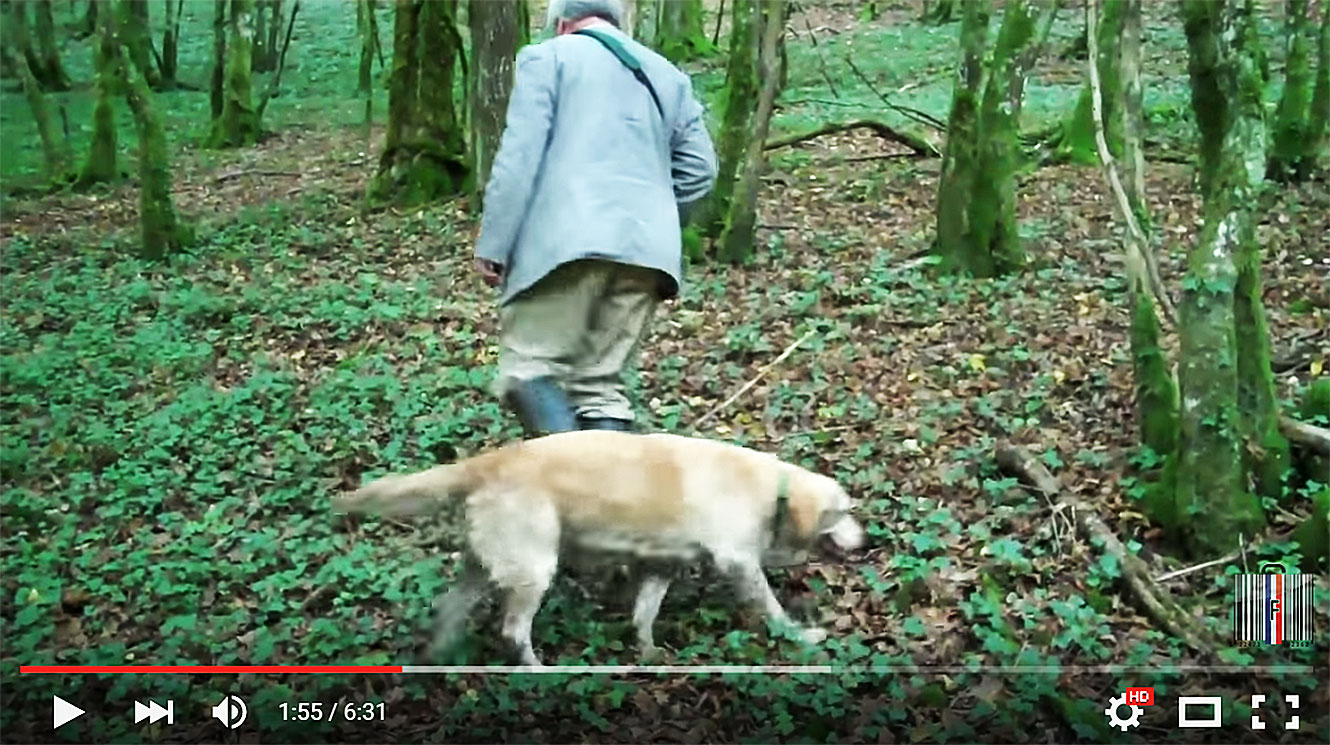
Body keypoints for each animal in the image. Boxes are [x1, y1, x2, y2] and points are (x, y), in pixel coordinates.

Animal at [332, 428, 867, 665]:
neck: (772, 489)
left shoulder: (661, 565)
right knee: (512, 631)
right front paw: (802, 636)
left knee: (449, 610)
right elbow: (773, 609)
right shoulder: (738, 562)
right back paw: (537, 671)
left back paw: (437, 659)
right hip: (533, 568)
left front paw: (649, 653)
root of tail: (485, 463)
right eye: (844, 511)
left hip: (485, 566)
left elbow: (643, 615)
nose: (868, 541)